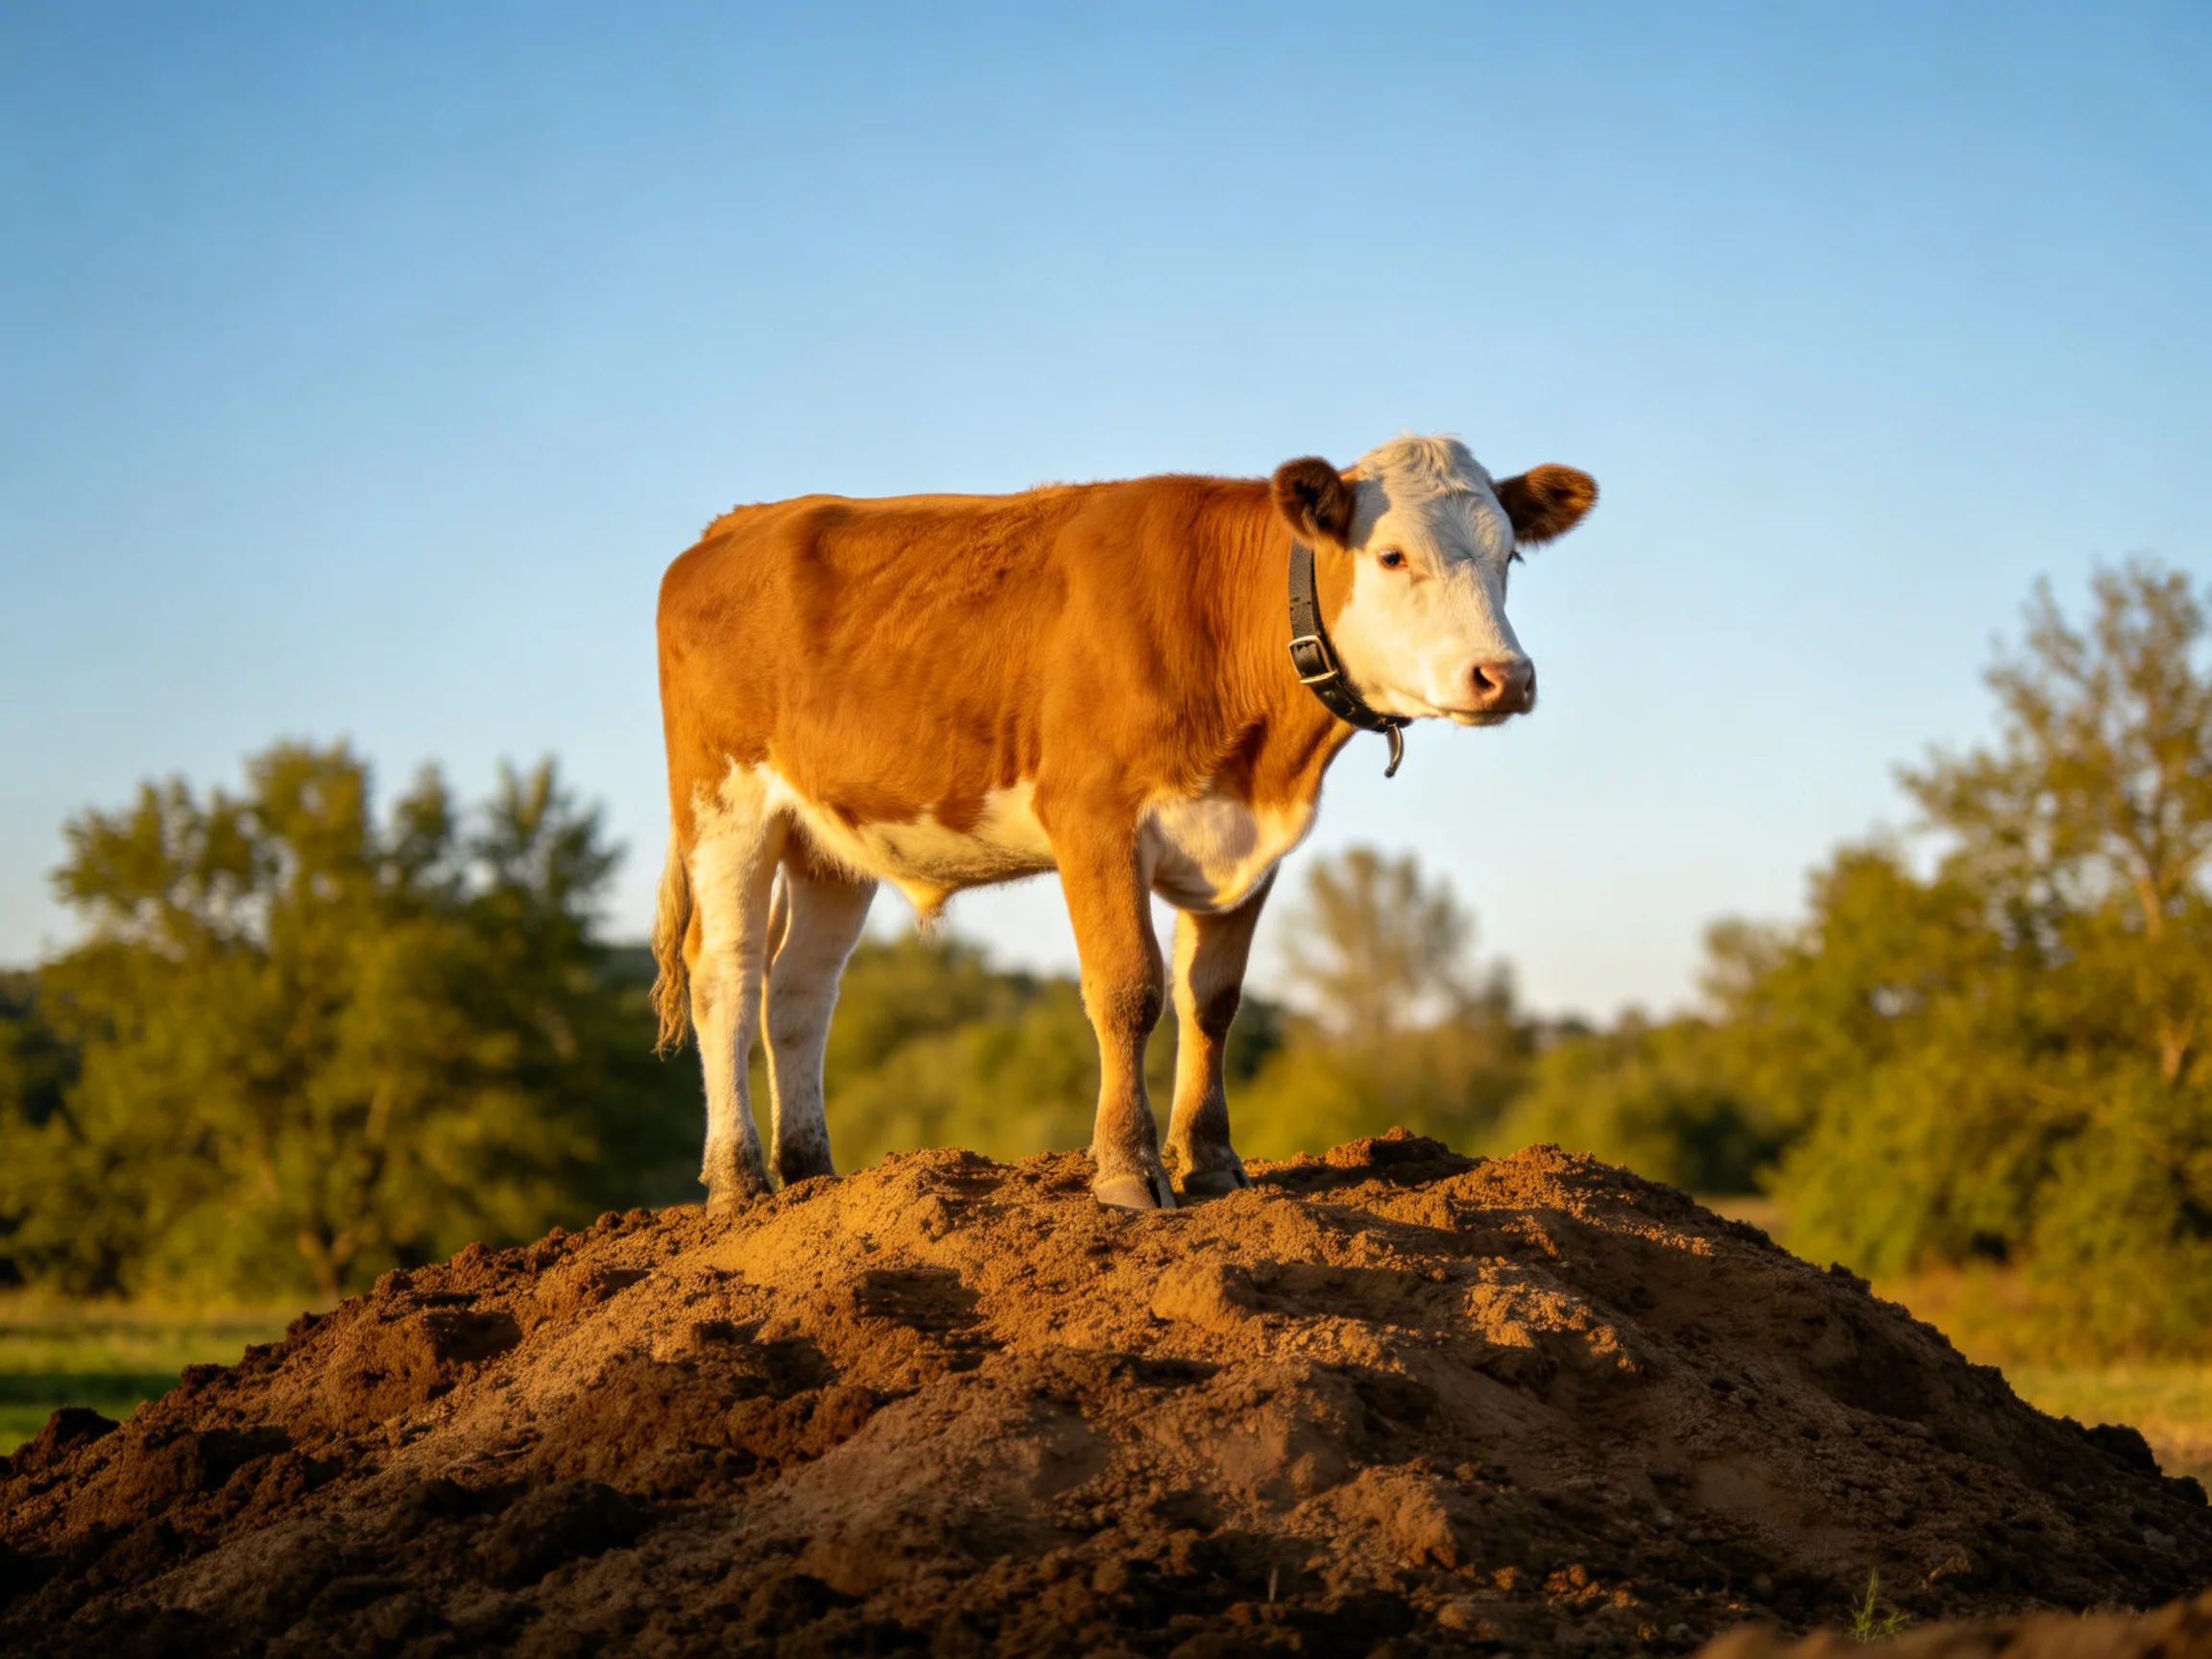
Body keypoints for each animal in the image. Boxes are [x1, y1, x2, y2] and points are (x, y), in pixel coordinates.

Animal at [651, 435, 1597, 1212]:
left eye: (1509, 555)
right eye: (1393, 554)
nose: (1504, 676)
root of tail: (736, 525)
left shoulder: (1250, 843)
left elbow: (1212, 1001)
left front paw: (1211, 1163)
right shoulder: (1093, 820)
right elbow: (1128, 990)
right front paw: (1128, 1170)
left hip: (829, 844)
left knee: (799, 989)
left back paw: (813, 1175)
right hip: (725, 807)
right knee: (727, 975)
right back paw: (738, 1182)